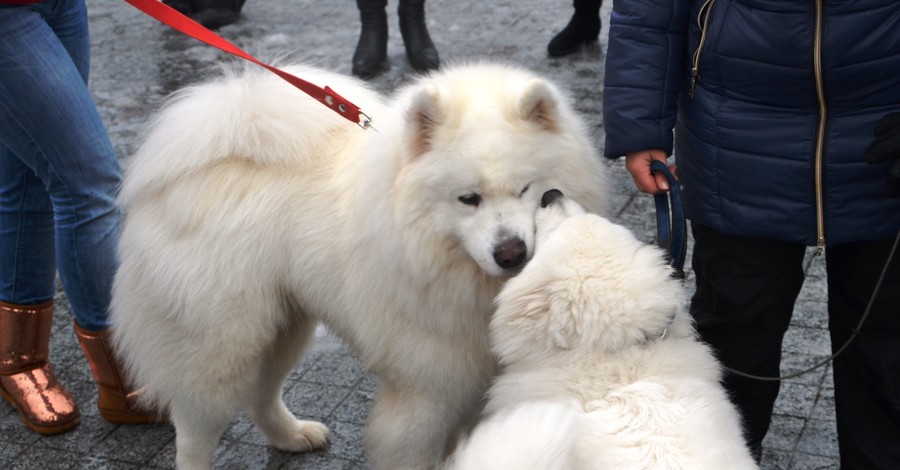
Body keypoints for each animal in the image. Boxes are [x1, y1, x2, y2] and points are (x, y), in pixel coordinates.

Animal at [109, 63, 608, 470]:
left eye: (527, 188)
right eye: (469, 199)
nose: (511, 253)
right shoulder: (427, 389)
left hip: (284, 324)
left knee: (260, 396)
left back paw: (293, 436)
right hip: (220, 345)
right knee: (194, 429)